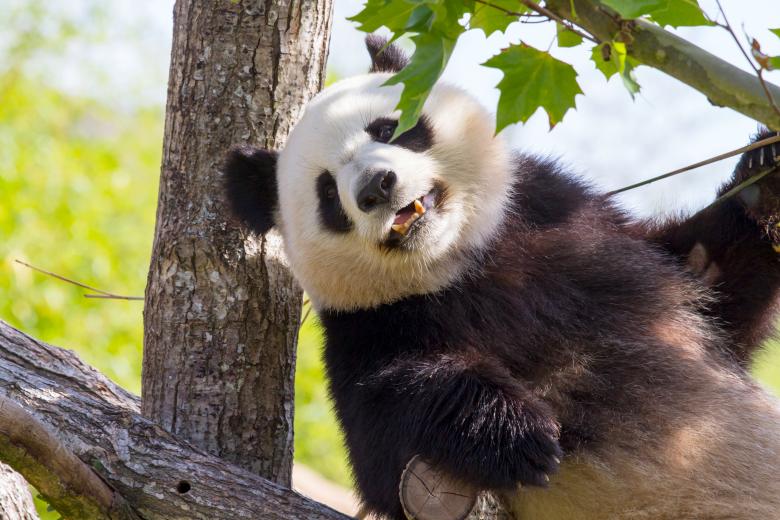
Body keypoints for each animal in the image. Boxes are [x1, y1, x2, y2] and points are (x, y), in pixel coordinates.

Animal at [225, 36, 780, 520]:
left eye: (386, 129)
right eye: (327, 194)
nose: (376, 187)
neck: (461, 263)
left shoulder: (589, 234)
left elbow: (717, 285)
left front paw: (766, 173)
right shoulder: (371, 325)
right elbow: (380, 435)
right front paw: (516, 433)